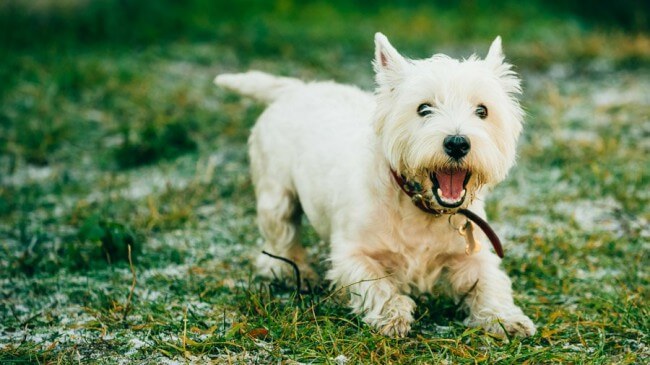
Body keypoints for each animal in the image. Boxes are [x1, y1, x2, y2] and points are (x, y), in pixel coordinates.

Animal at [215, 32, 536, 336]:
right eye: (423, 109)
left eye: (482, 111)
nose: (457, 143)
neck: (420, 207)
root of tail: (298, 89)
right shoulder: (352, 253)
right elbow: (376, 282)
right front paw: (393, 315)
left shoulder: (473, 255)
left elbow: (491, 283)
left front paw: (507, 318)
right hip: (276, 193)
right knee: (280, 236)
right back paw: (295, 272)